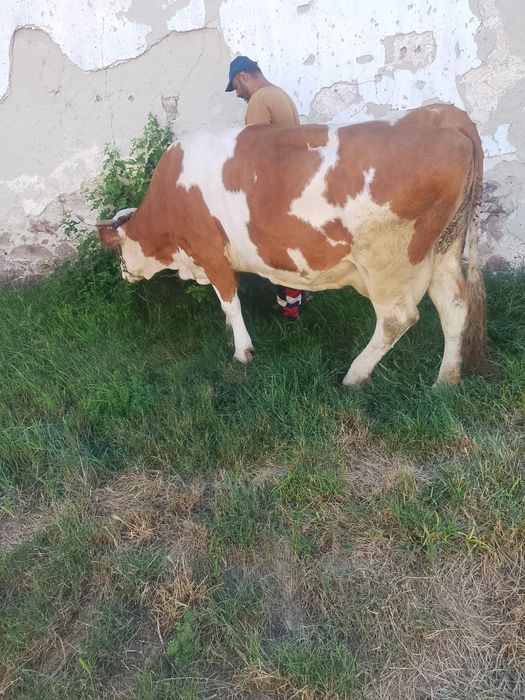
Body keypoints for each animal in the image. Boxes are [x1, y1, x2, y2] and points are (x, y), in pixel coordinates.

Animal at [96, 103, 488, 386]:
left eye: (118, 251)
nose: (124, 274)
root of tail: (446, 116)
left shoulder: (211, 254)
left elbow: (230, 305)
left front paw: (242, 352)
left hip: (387, 263)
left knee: (397, 318)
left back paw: (354, 375)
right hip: (444, 250)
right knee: (454, 307)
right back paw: (445, 382)